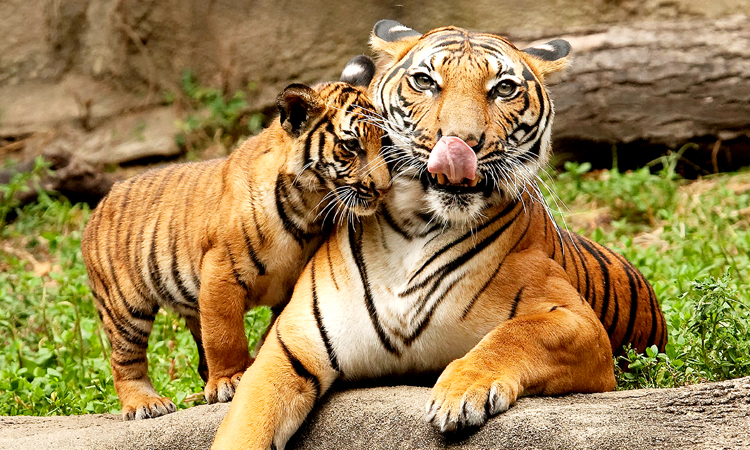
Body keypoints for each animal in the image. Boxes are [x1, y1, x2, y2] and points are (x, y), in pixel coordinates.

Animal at [80, 65, 391, 420]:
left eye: (385, 141)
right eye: (351, 146)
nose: (384, 188)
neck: (310, 208)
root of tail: (101, 202)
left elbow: (271, 333)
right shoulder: (221, 273)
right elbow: (224, 336)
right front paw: (229, 380)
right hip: (125, 306)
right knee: (125, 361)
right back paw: (146, 403)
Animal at [211, 20, 667, 449]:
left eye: (503, 88)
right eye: (425, 81)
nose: (461, 142)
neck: (415, 229)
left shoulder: (577, 321)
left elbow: (514, 334)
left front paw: (460, 393)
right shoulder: (291, 347)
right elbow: (247, 422)